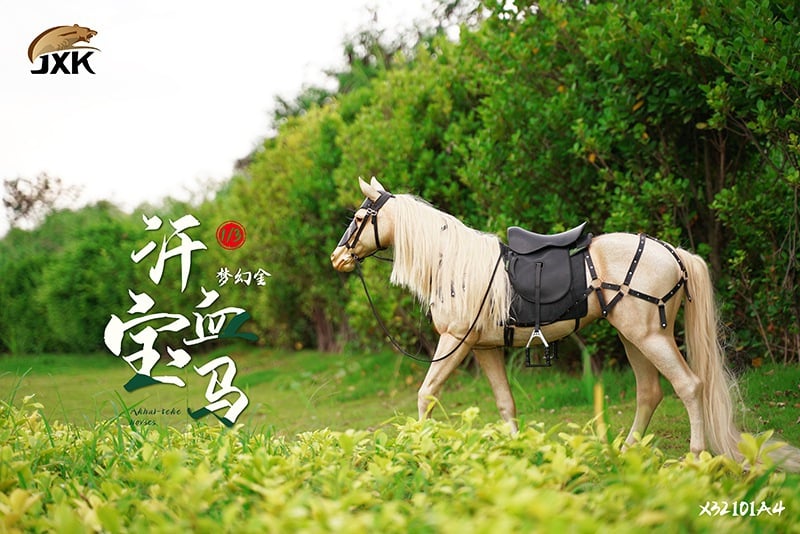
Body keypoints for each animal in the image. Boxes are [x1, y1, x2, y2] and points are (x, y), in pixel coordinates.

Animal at [330, 177, 800, 470]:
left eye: (359, 218)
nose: (338, 259)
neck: (454, 263)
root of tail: (673, 252)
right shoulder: (483, 347)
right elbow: (505, 403)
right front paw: (515, 454)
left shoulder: (455, 340)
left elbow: (426, 395)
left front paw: (421, 448)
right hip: (634, 337)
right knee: (649, 393)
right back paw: (626, 452)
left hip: (650, 336)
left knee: (689, 386)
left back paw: (695, 456)